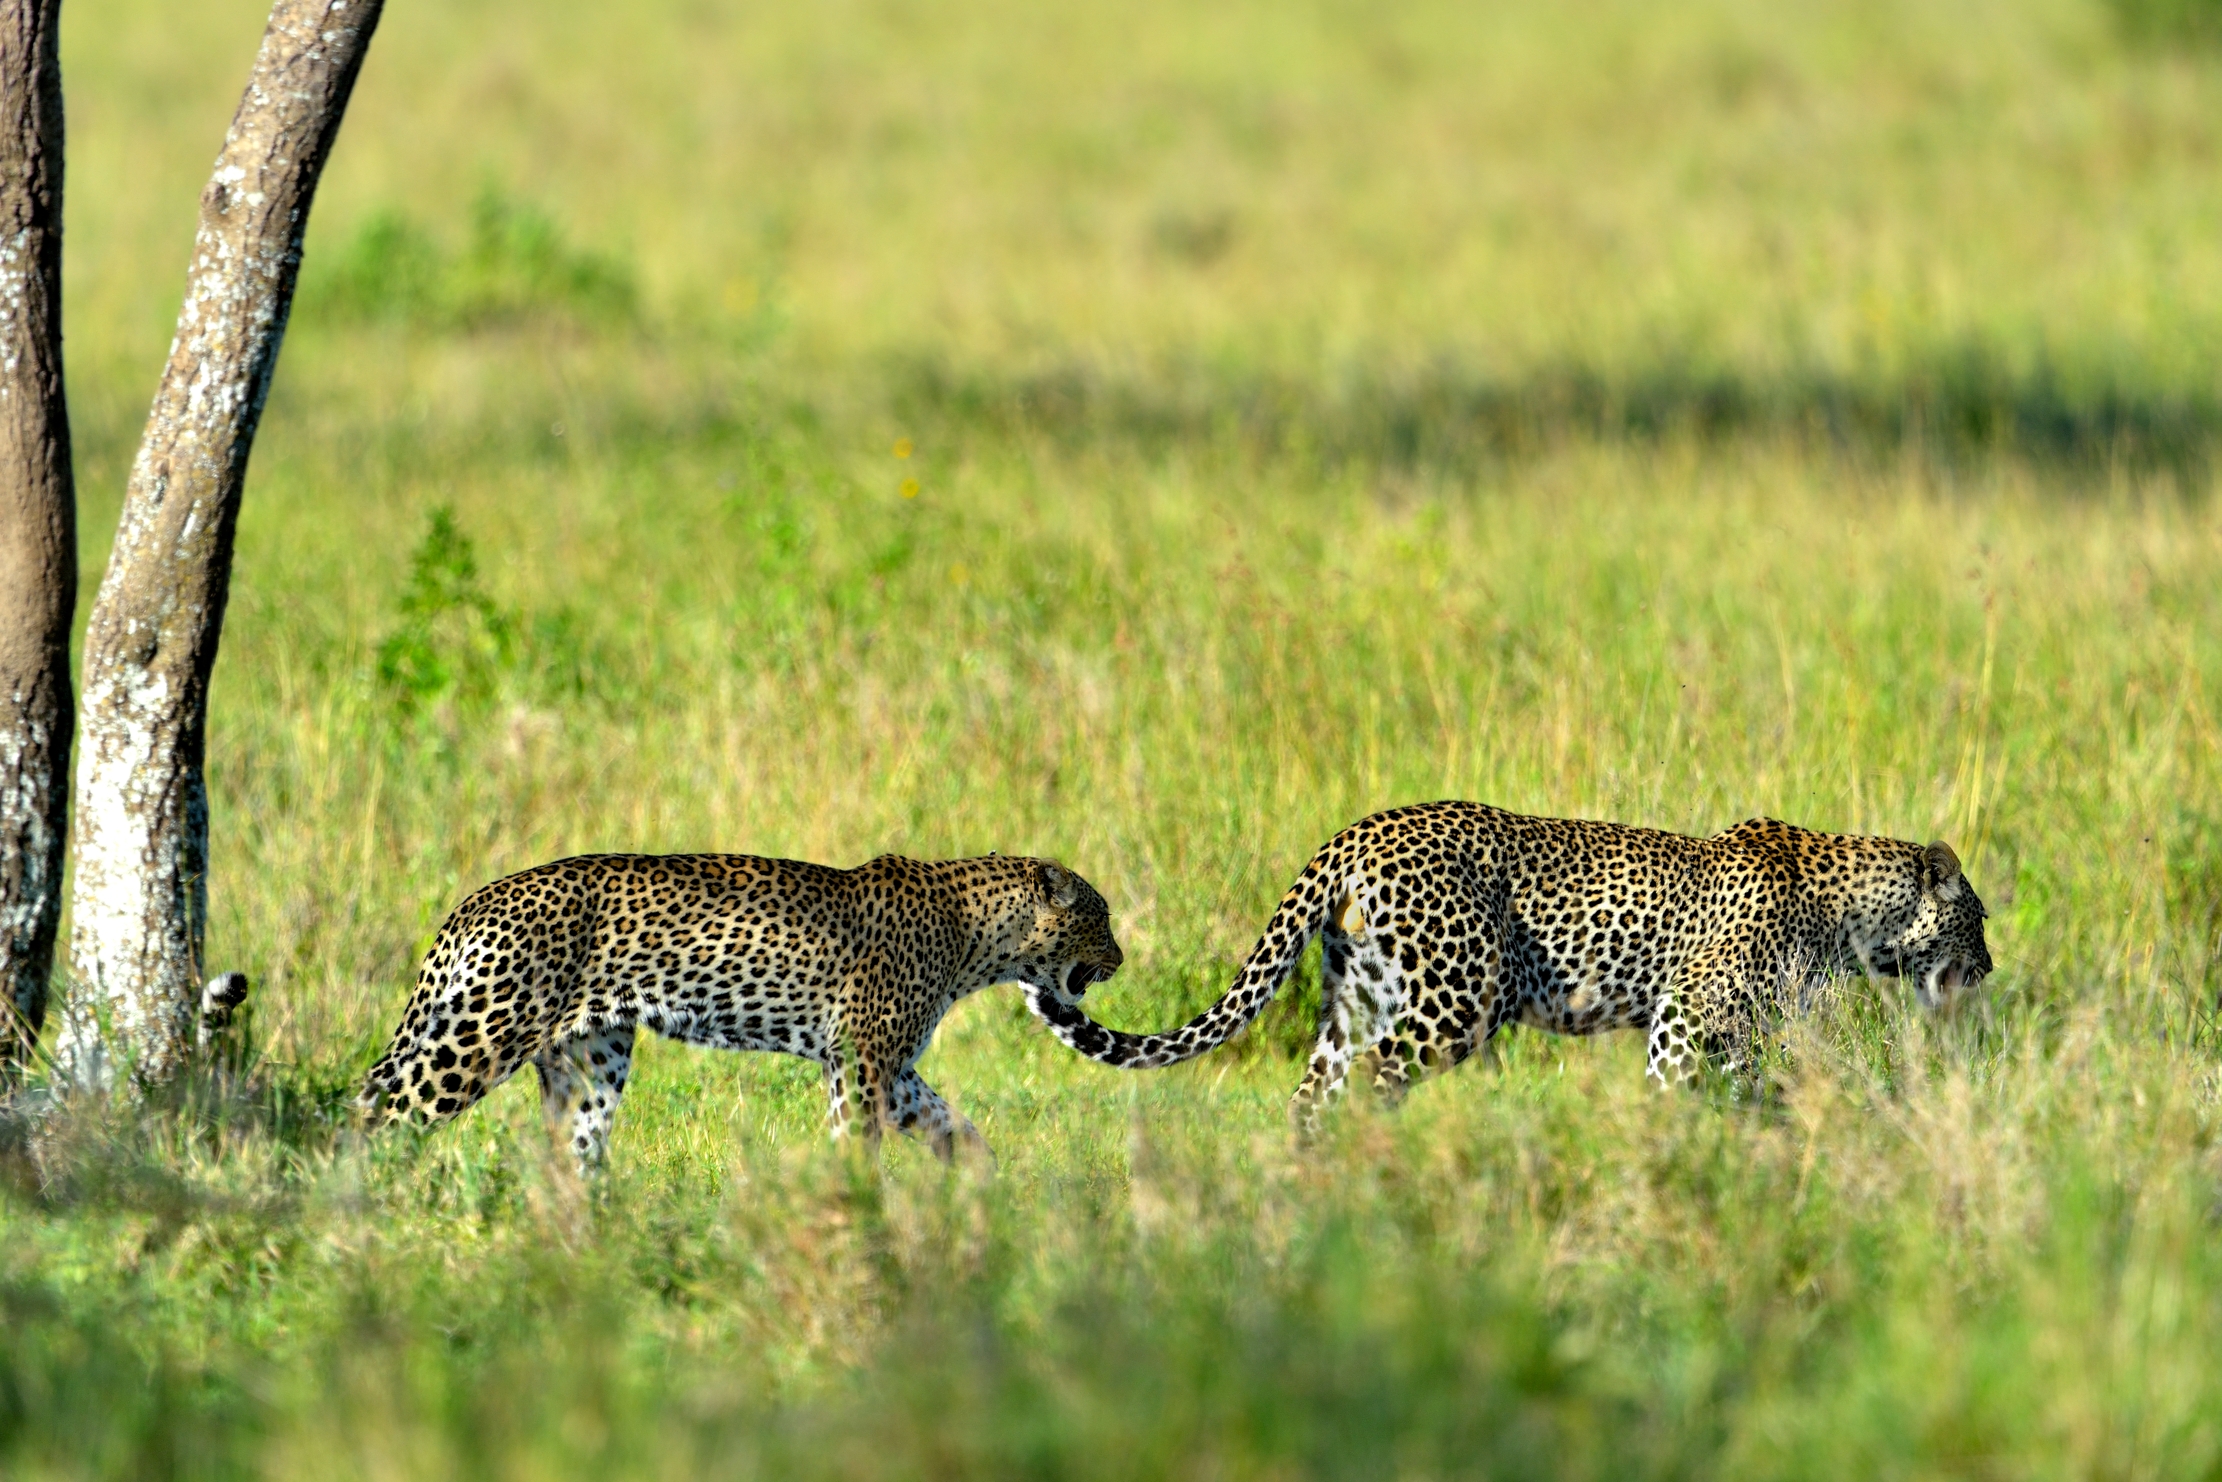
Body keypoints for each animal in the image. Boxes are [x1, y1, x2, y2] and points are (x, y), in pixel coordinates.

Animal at [360, 851, 1123, 1166]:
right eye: (1102, 917)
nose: (1121, 957)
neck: (977, 937)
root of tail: (474, 902)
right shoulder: (863, 1060)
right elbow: (857, 1141)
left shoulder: (888, 1068)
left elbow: (949, 1124)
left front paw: (981, 1183)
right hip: (481, 1034)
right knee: (376, 1115)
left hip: (588, 1061)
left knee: (568, 1155)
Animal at [1025, 801, 1992, 1126]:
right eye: (1978, 920)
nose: (1987, 967)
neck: (1851, 915)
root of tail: (1358, 828)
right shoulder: (1687, 1015)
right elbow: (1676, 1094)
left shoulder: (1745, 1033)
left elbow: (1766, 1096)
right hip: (1450, 1002)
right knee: (1372, 1084)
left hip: (1359, 1001)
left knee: (1313, 1094)